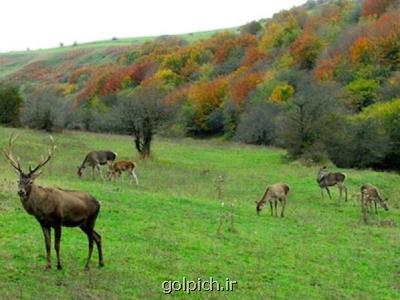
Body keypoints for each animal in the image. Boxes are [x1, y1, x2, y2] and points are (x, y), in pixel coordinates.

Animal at [4, 135, 103, 270]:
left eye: (30, 181)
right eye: (18, 180)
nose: (21, 191)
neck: (42, 208)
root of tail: (99, 203)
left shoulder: (58, 220)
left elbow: (57, 244)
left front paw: (59, 265)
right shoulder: (43, 223)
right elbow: (47, 244)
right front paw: (48, 265)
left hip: (91, 220)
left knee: (91, 241)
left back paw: (87, 266)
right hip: (83, 224)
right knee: (98, 237)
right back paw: (101, 263)